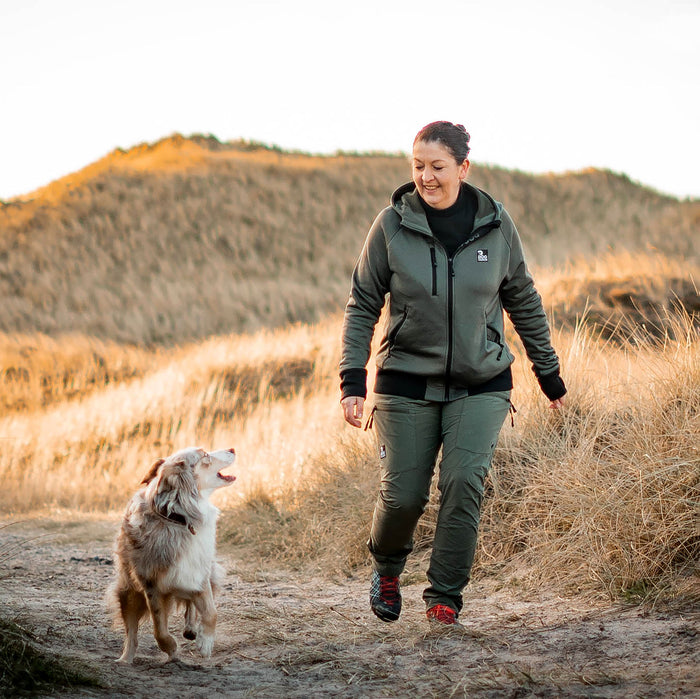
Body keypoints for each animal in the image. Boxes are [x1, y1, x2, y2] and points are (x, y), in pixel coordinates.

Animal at [108, 446, 237, 664]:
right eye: (205, 455)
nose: (232, 448)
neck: (178, 519)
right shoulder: (150, 585)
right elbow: (159, 628)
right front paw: (171, 647)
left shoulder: (198, 572)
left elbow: (211, 612)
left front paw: (205, 643)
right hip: (127, 591)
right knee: (131, 633)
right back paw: (125, 660)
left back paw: (191, 628)